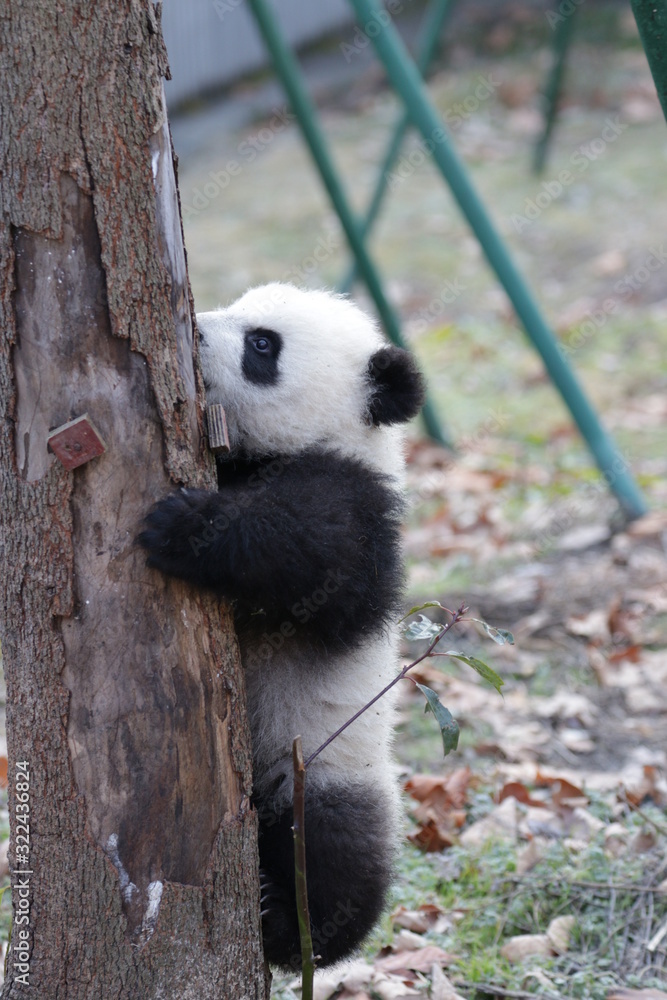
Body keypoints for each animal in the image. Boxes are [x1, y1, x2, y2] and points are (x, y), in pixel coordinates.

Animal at [139, 282, 425, 970]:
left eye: (262, 344)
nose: (194, 327)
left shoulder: (358, 508)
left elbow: (306, 553)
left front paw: (184, 528)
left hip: (323, 768)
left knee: (331, 858)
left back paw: (286, 927)